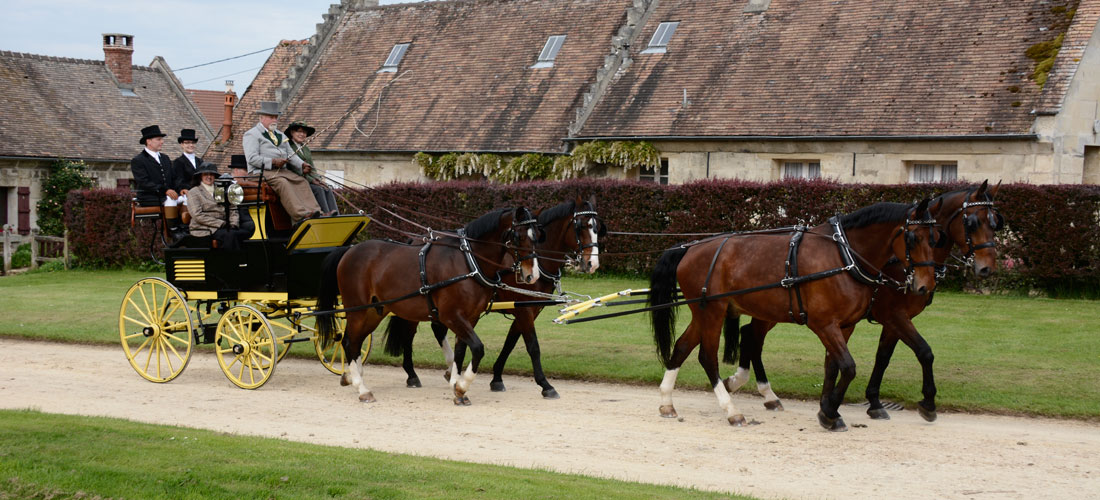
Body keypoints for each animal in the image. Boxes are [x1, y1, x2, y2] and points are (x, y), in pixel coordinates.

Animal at [316, 207, 539, 406]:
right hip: (358, 310)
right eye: (518, 237)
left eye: (536, 236)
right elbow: (477, 348)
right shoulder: (451, 316)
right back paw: (362, 388)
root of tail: (349, 250)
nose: (532, 275)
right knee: (347, 342)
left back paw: (350, 376)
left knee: (355, 342)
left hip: (374, 312)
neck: (468, 261)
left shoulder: (470, 318)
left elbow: (460, 351)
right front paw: (461, 386)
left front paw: (457, 387)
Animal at [387, 197, 607, 397]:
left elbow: (510, 343)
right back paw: (412, 374)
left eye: (598, 228)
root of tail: (416, 239)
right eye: (582, 226)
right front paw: (545, 385)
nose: (592, 264)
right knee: (410, 333)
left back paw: (448, 369)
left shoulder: (526, 310)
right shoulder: (523, 310)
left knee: (437, 328)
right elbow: (533, 346)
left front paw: (496, 378)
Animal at [646, 200, 941, 430]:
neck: (843, 255)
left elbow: (834, 366)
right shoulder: (826, 324)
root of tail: (690, 248)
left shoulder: (845, 325)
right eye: (913, 238)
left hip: (704, 312)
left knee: (682, 346)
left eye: (936, 238)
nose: (924, 286)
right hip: (713, 311)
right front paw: (829, 413)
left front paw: (828, 408)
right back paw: (731, 411)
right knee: (707, 357)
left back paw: (666, 402)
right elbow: (848, 367)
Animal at [726, 180, 1003, 421]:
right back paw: (758, 388)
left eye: (996, 223)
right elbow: (924, 352)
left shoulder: (889, 321)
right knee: (752, 337)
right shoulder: (893, 315)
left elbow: (880, 358)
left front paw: (866, 402)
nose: (987, 268)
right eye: (973, 222)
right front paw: (927, 403)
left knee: (750, 335)